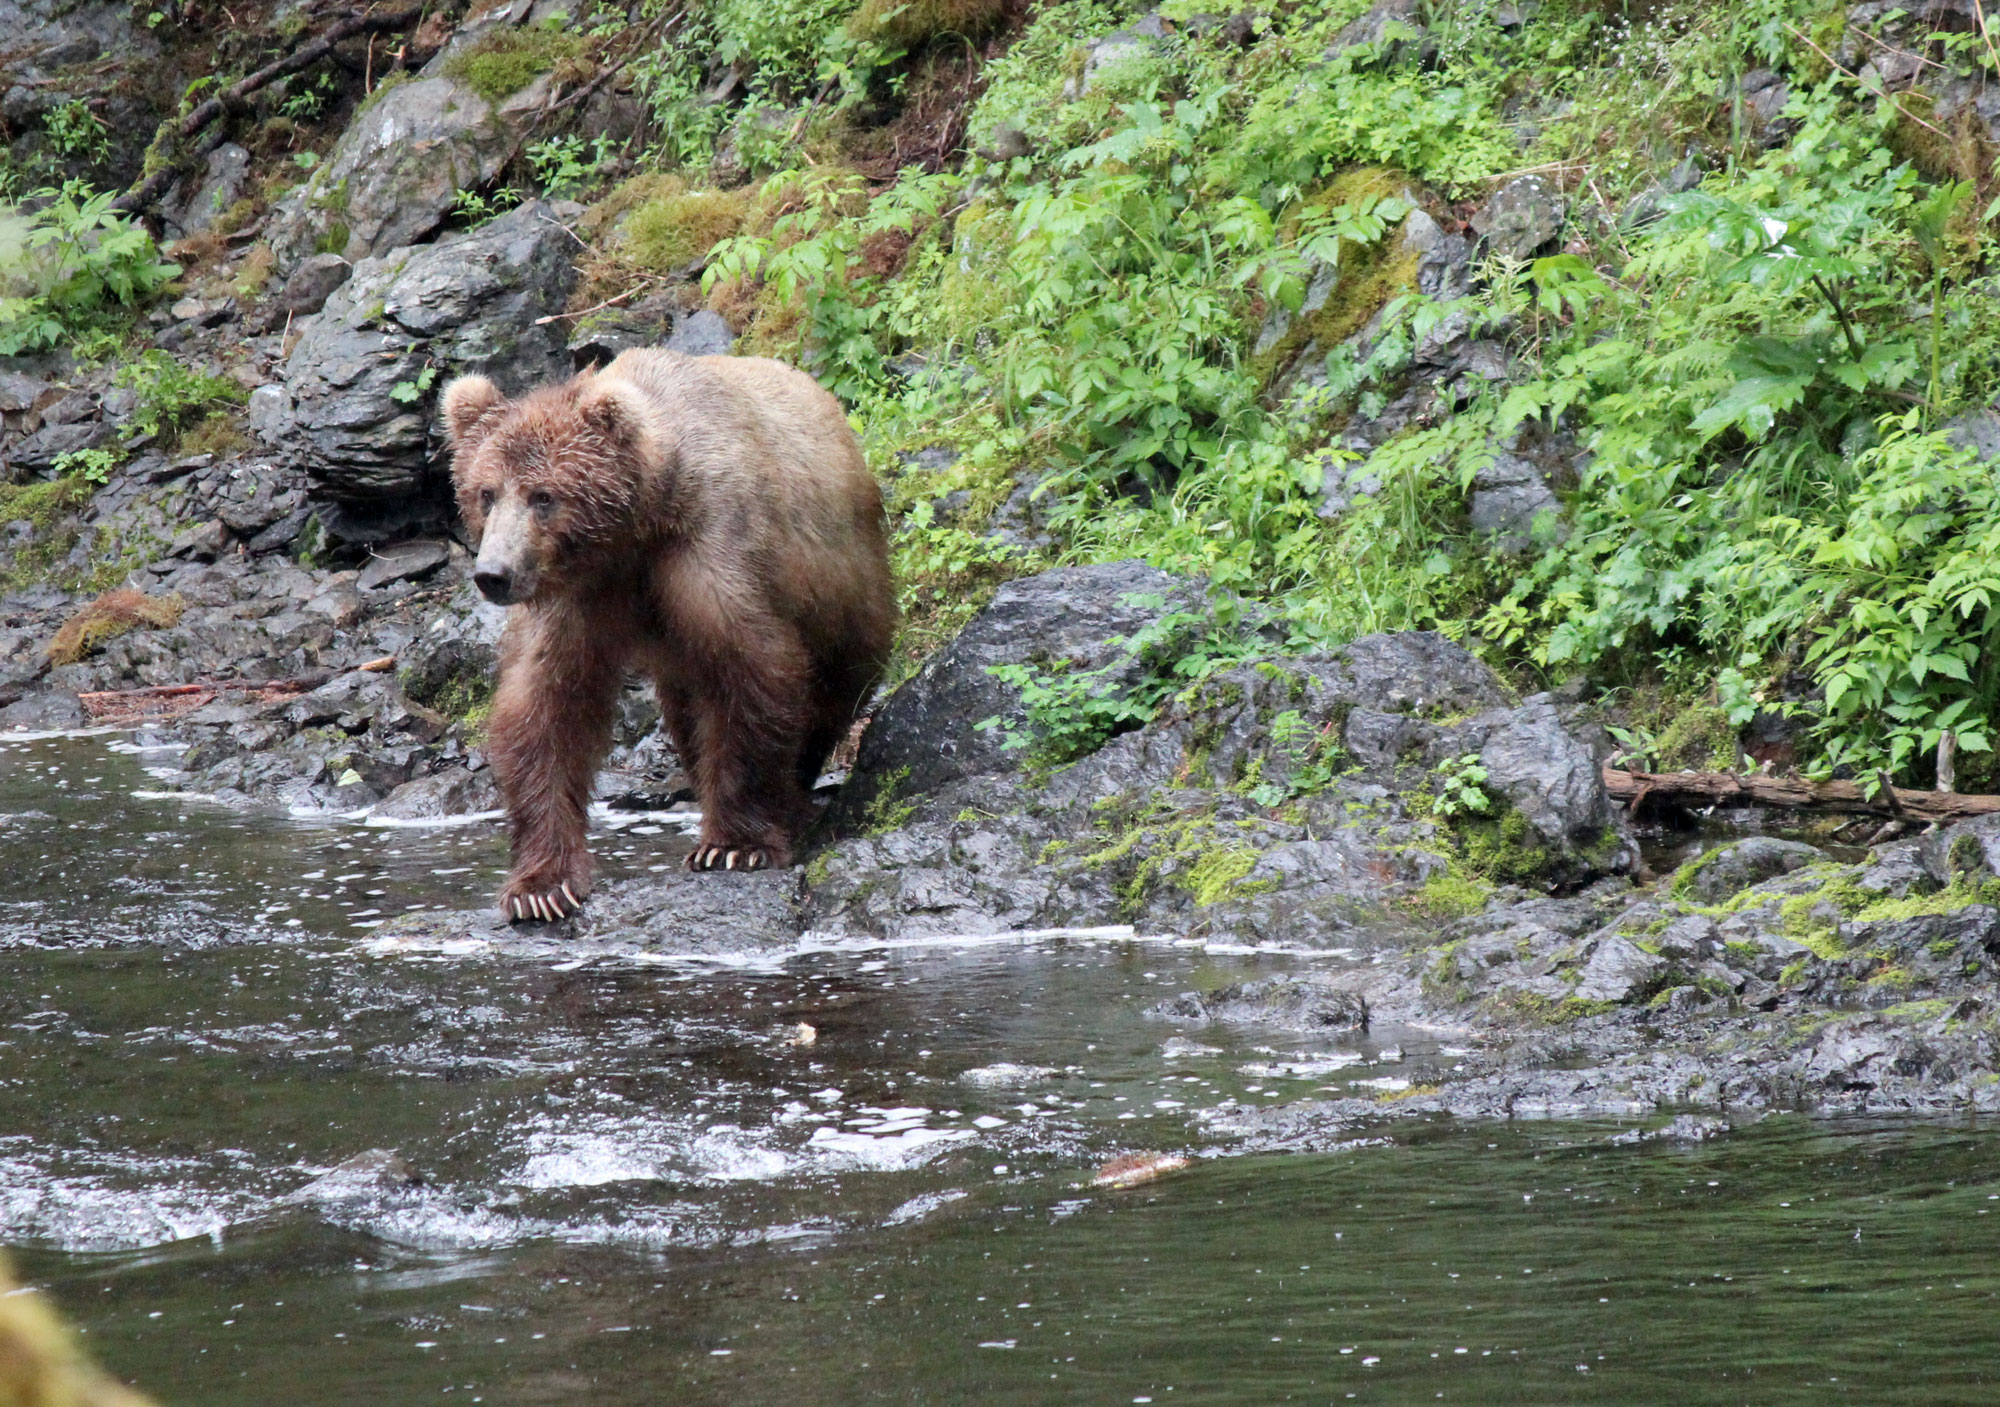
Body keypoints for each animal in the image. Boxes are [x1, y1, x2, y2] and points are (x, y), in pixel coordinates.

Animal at [441, 347, 896, 922]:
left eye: (543, 495)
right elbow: (546, 706)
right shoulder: (574, 598)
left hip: (844, 580)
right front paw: (541, 886)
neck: (633, 531)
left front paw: (734, 846)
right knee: (684, 713)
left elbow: (750, 672)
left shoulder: (710, 551)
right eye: (486, 492)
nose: (493, 574)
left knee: (836, 683)